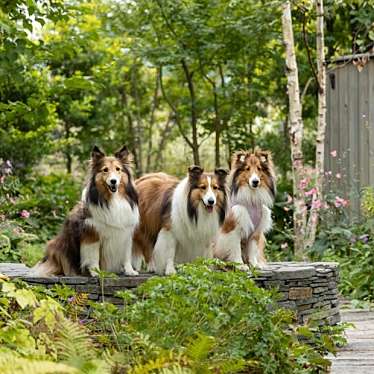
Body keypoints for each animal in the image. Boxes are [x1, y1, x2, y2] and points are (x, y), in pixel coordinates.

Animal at [32, 145, 139, 276]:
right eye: (105, 170)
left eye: (118, 169)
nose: (113, 181)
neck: (113, 199)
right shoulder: (91, 232)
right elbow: (93, 256)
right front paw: (96, 272)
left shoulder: (125, 233)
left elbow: (126, 255)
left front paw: (130, 270)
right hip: (57, 245)